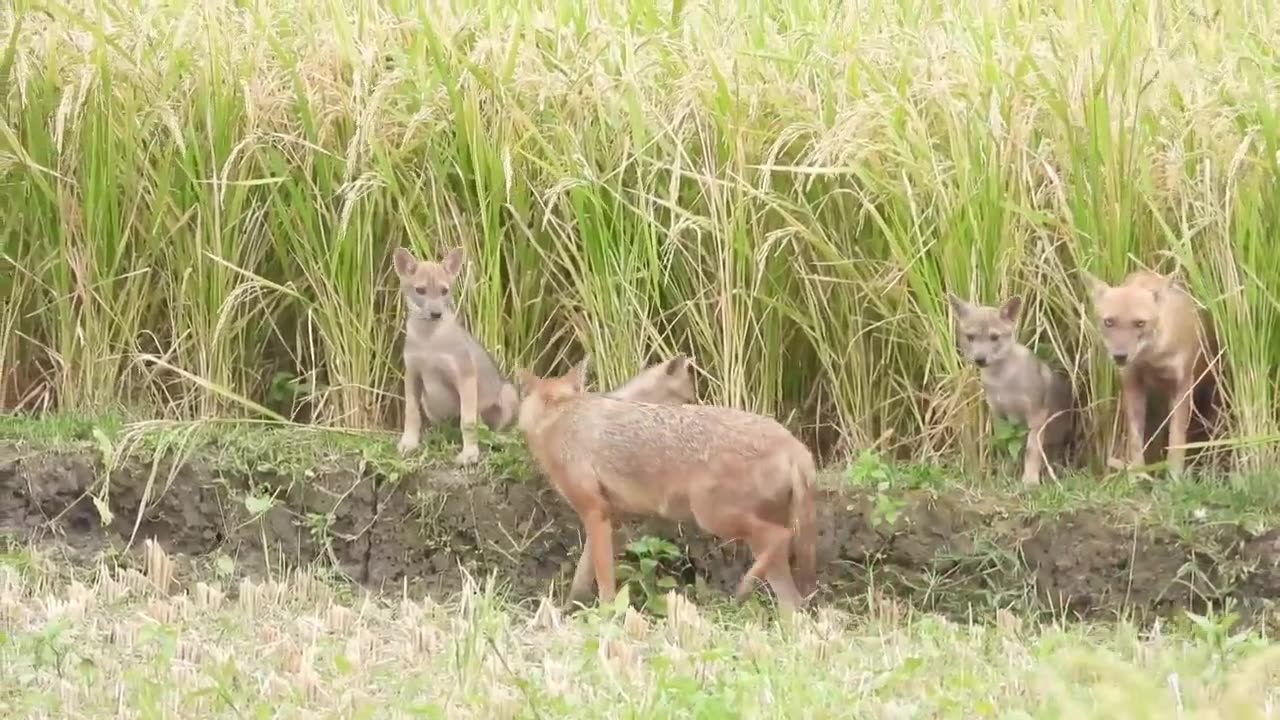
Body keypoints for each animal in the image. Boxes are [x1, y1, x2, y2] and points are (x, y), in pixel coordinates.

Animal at [392, 246, 698, 465]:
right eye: (420, 290)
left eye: (444, 291)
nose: (435, 313)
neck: (429, 340)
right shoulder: (412, 376)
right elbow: (411, 415)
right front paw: (409, 443)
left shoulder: (464, 377)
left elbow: (468, 421)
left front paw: (469, 453)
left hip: (506, 396)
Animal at [515, 355, 818, 612]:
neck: (560, 416)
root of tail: (795, 444)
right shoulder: (608, 515)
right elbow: (582, 575)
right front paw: (569, 612)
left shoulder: (594, 511)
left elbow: (604, 582)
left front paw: (607, 616)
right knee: (793, 602)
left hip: (714, 519)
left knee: (782, 537)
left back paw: (743, 587)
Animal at [948, 294, 1076, 487]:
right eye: (970, 337)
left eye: (994, 337)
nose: (980, 359)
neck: (1003, 381)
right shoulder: (1000, 416)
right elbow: (1007, 448)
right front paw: (1004, 474)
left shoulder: (1036, 416)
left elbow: (1032, 451)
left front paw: (1030, 480)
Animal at [1083, 269, 1219, 479]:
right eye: (1109, 322)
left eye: (1140, 323)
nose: (1120, 356)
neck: (1152, 358)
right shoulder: (1132, 385)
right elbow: (1135, 442)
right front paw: (1136, 476)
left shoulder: (1182, 386)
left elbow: (1176, 440)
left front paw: (1174, 478)